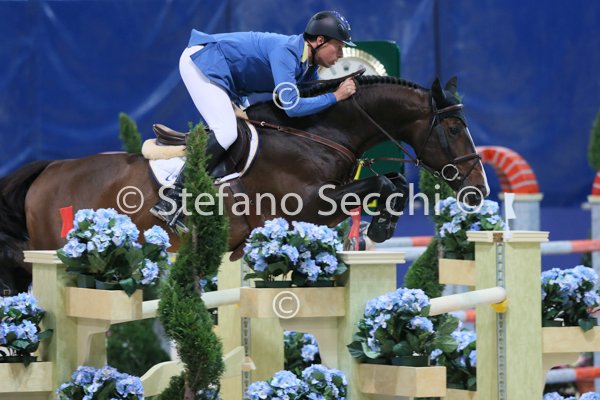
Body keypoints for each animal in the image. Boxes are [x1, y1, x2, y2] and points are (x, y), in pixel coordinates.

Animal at [0, 75, 489, 294]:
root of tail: (47, 170)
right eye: (455, 128)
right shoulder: (308, 204)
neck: (316, 132)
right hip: (53, 253)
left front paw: (382, 225)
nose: (479, 188)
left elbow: (391, 181)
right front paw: (383, 224)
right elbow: (384, 184)